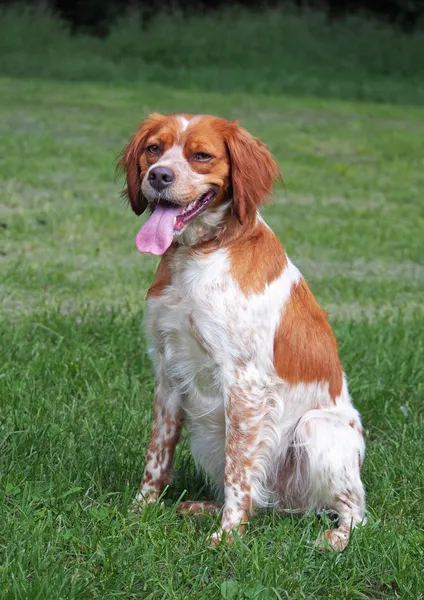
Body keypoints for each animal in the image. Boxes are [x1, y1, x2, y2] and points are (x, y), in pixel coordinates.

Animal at [118, 113, 364, 552]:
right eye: (153, 149)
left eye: (201, 156)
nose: (159, 175)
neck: (199, 252)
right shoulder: (167, 371)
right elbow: (157, 454)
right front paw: (139, 510)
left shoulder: (244, 383)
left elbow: (239, 470)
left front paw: (228, 536)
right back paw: (202, 507)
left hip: (316, 429)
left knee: (355, 510)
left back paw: (335, 537)